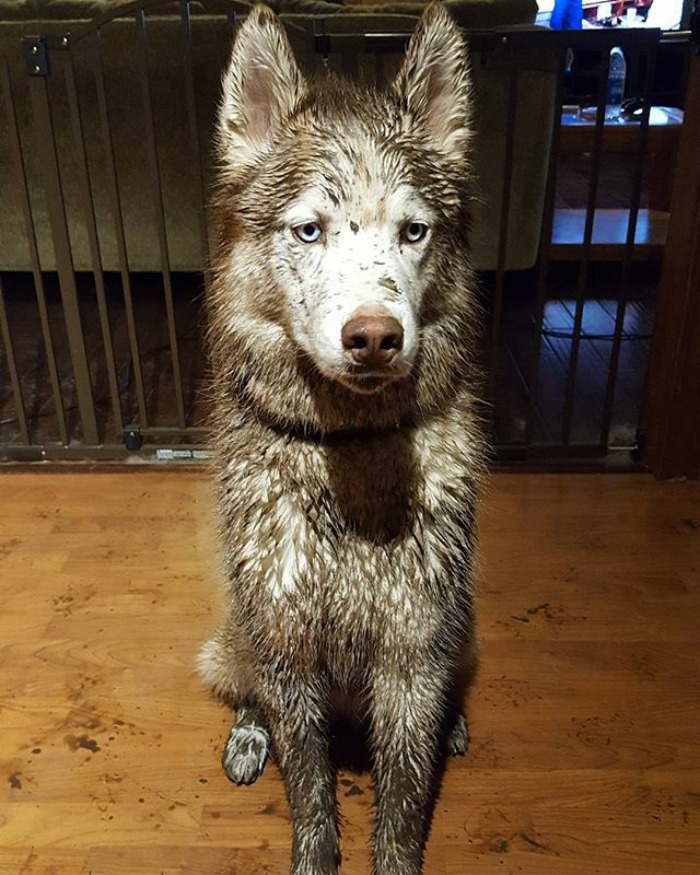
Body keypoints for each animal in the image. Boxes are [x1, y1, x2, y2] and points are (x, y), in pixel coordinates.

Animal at [200, 3, 484, 872]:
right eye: (309, 230)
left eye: (414, 231)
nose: (374, 337)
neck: (350, 464)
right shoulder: (289, 650)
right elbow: (312, 793)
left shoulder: (415, 654)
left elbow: (401, 806)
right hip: (240, 636)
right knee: (248, 693)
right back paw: (246, 736)